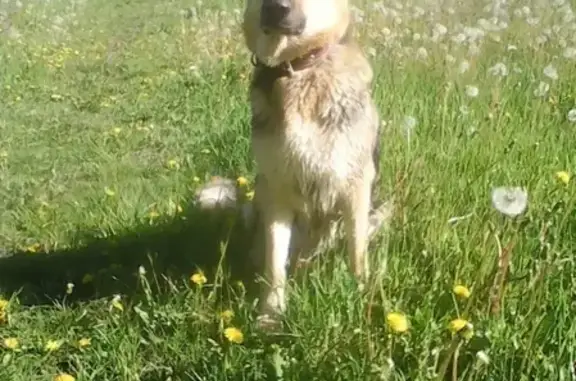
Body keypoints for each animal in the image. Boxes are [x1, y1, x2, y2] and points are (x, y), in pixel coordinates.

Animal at [238, 0, 382, 326]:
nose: (275, 8)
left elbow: (357, 250)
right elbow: (275, 261)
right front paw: (271, 313)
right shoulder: (277, 190)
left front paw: (361, 295)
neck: (298, 69)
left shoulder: (356, 185)